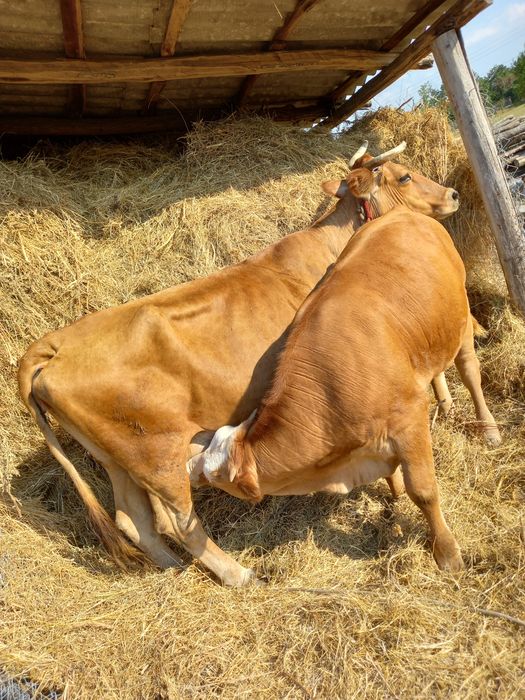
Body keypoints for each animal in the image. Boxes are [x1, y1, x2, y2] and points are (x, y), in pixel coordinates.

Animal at [18, 141, 462, 586]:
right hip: (160, 457)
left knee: (133, 520)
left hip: (119, 462)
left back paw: (174, 569)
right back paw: (237, 573)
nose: (454, 194)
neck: (327, 246)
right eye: (404, 175)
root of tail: (54, 345)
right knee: (178, 520)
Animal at [190, 205, 502, 580]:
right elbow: (394, 476)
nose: (189, 470)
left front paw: (447, 553)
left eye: (216, 476)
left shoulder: (409, 418)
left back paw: (489, 428)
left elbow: (424, 492)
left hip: (460, 317)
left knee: (470, 371)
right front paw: (395, 493)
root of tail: (402, 213)